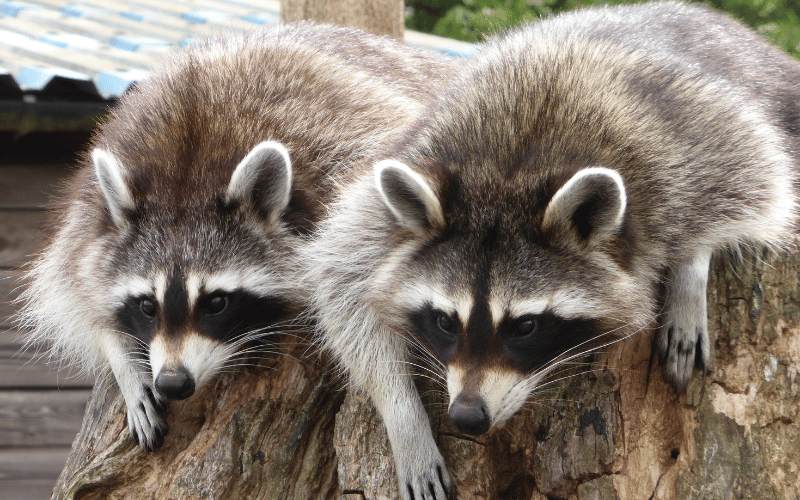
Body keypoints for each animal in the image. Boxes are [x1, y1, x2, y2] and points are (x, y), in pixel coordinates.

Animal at [17, 22, 456, 454]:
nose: (173, 383)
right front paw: (121, 355)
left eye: (217, 303)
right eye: (146, 306)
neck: (188, 171)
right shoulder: (93, 202)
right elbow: (70, 279)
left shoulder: (344, 153)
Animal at [304, 1, 796, 498]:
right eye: (445, 321)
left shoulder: (686, 143)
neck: (511, 172)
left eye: (525, 326)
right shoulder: (400, 182)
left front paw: (691, 267)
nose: (467, 416)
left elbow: (755, 175)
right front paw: (403, 417)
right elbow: (342, 282)